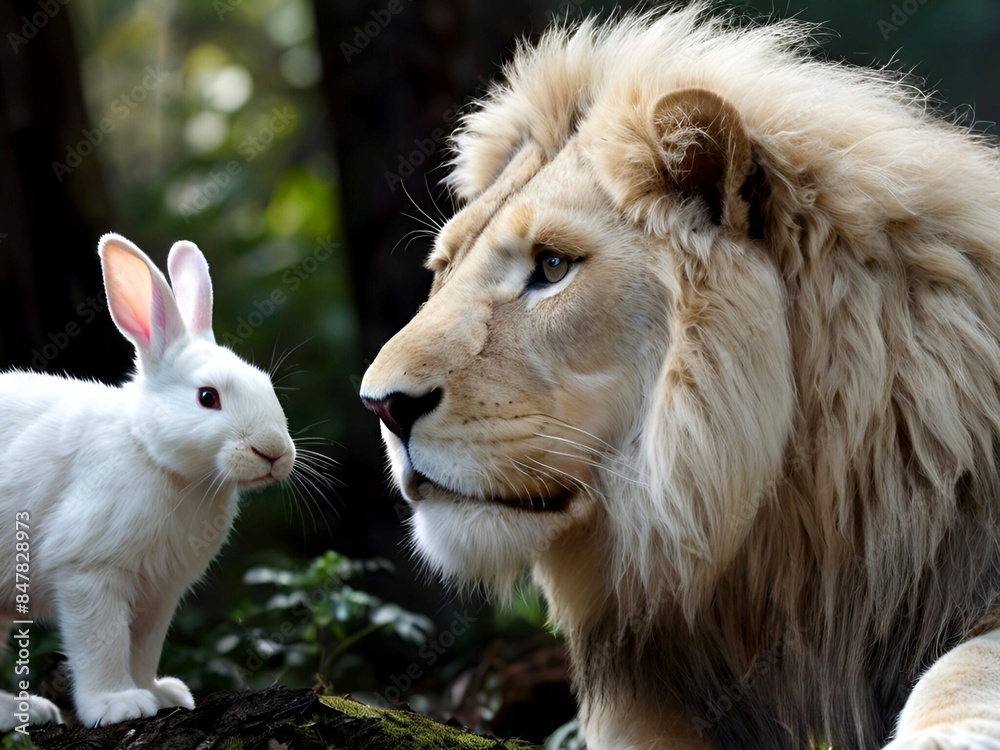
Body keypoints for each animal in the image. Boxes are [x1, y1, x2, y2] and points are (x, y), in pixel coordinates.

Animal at [0, 233, 295, 730]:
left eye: (266, 386)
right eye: (207, 397)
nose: (273, 452)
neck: (153, 455)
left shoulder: (159, 594)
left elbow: (143, 649)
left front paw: (160, 693)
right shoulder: (88, 572)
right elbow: (101, 645)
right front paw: (117, 704)